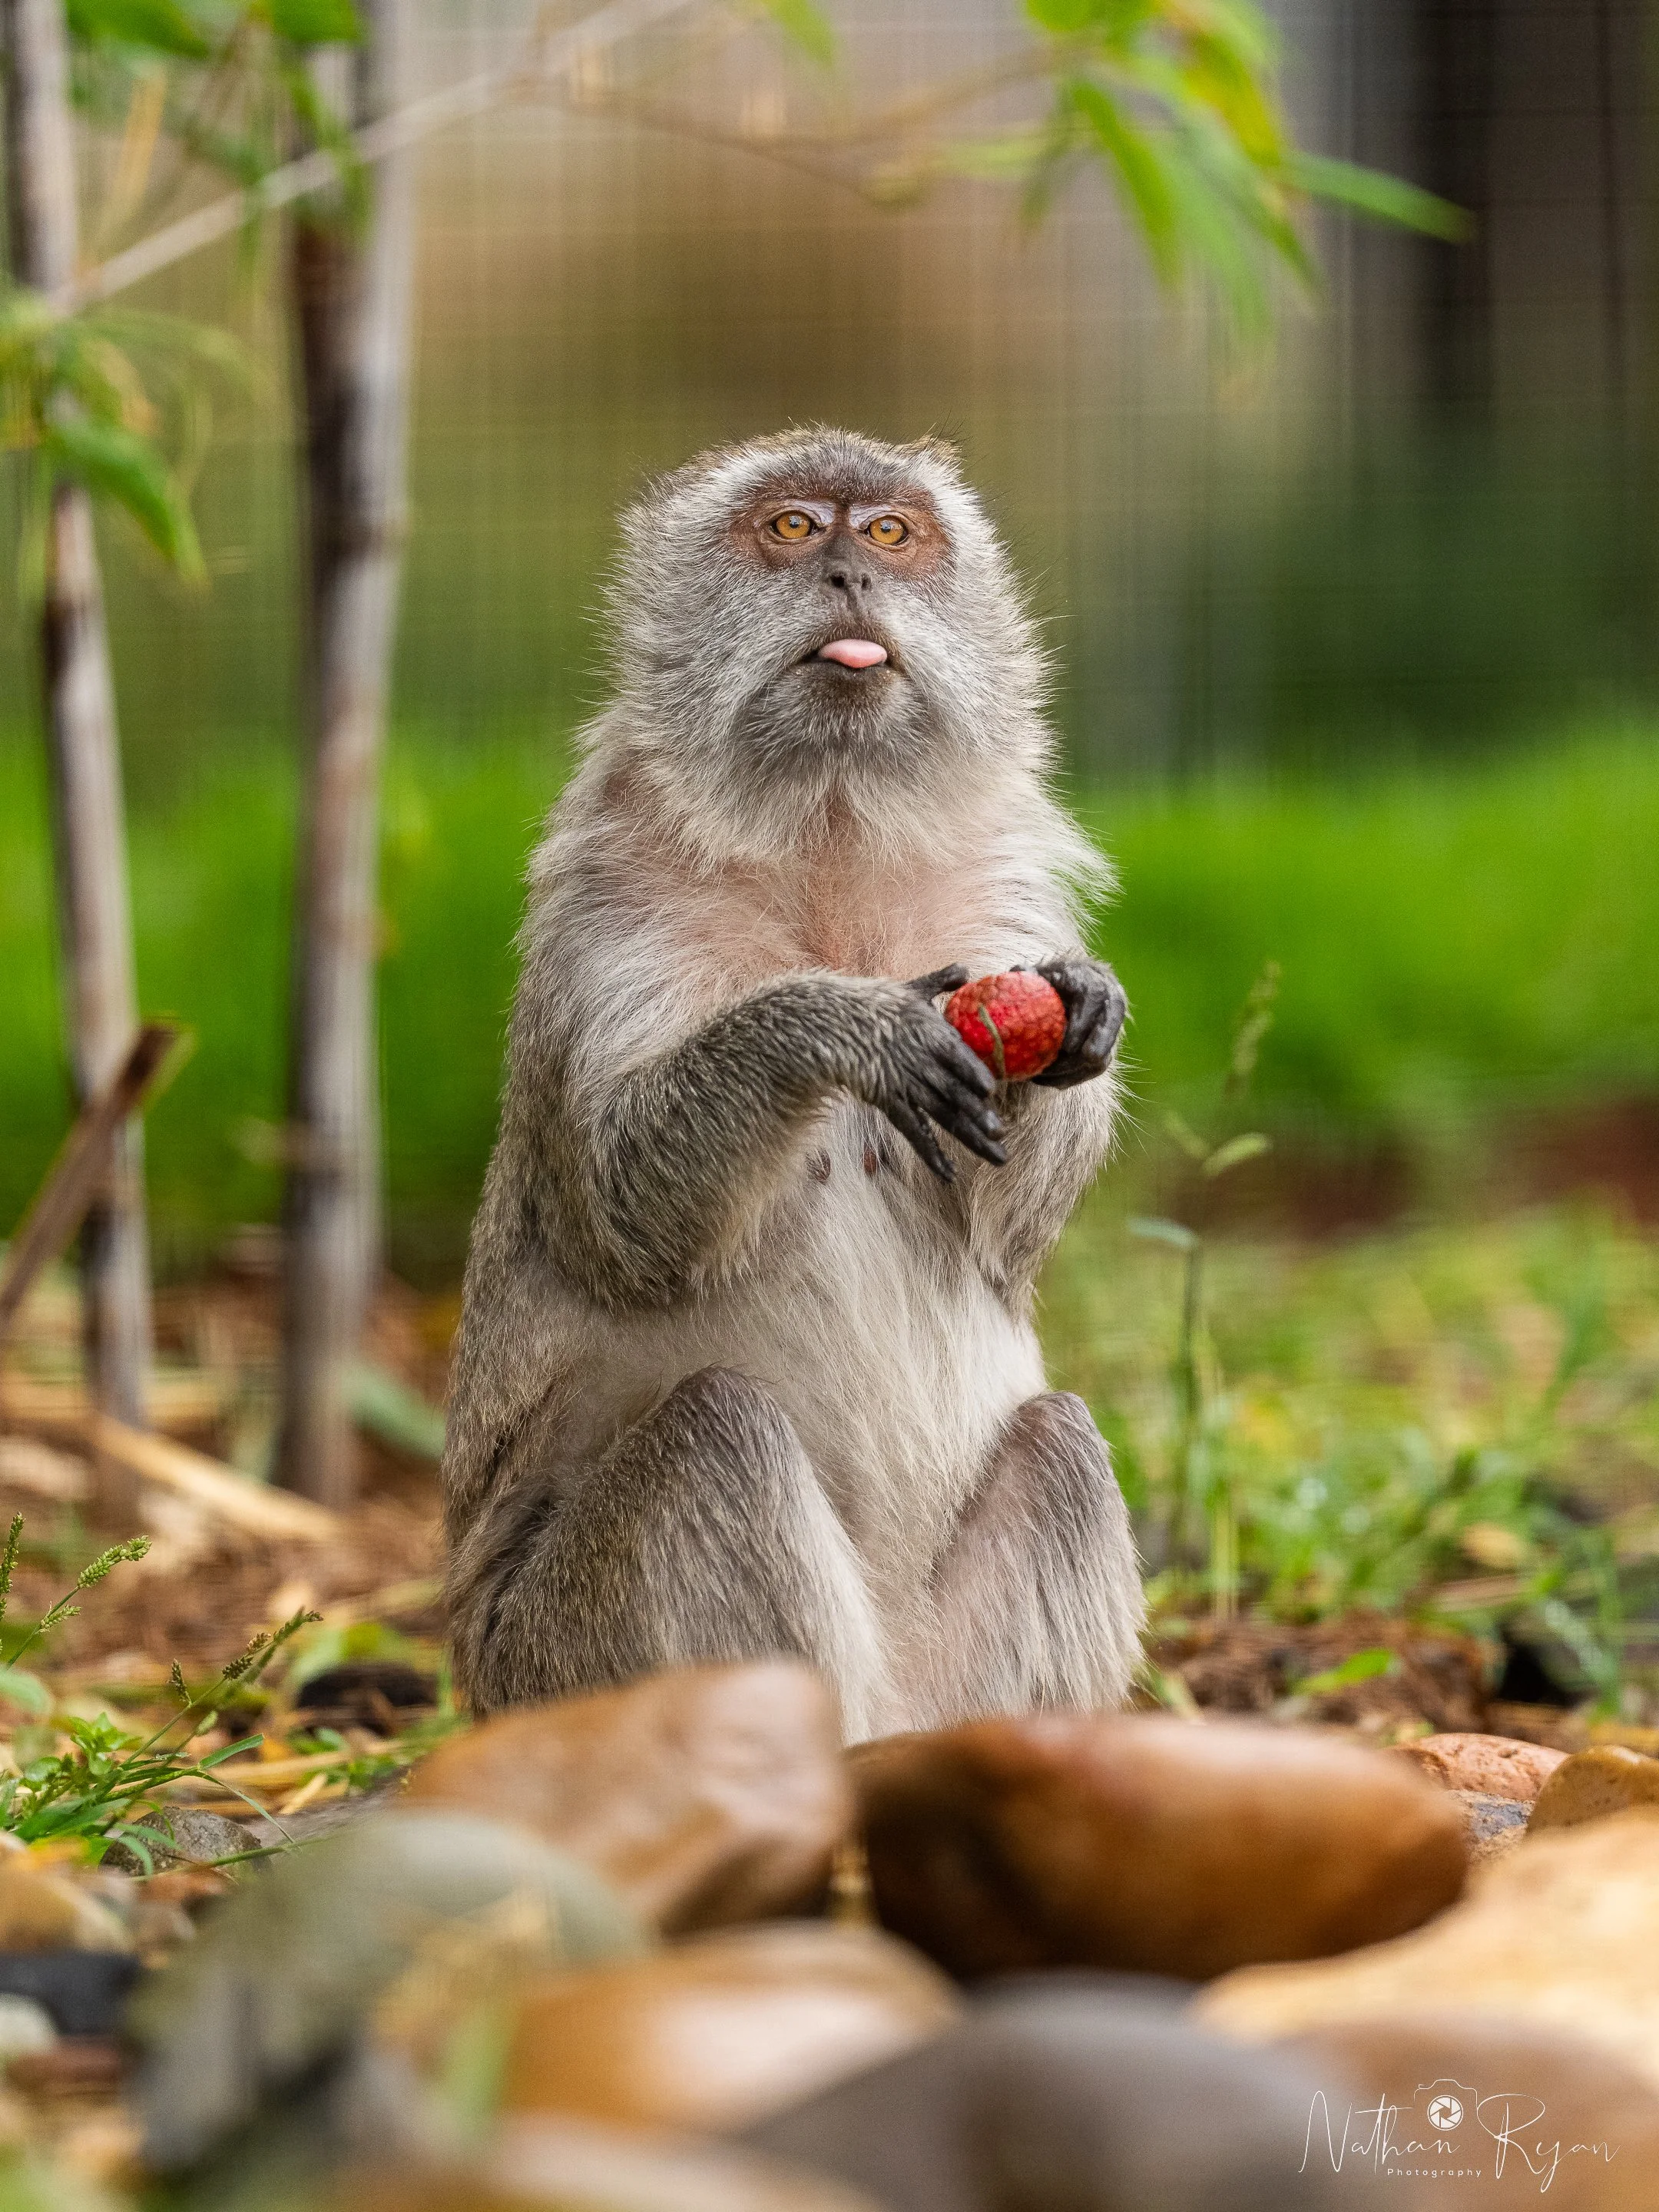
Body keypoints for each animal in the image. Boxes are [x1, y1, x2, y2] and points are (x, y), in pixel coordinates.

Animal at [441, 426, 1144, 1738]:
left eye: (890, 534)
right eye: (791, 529)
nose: (847, 575)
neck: (828, 833)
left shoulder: (1004, 883)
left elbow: (1007, 1236)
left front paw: (1078, 1008)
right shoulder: (605, 897)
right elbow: (623, 1212)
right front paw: (833, 1027)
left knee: (1062, 1444)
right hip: (551, 1666)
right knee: (718, 1435)